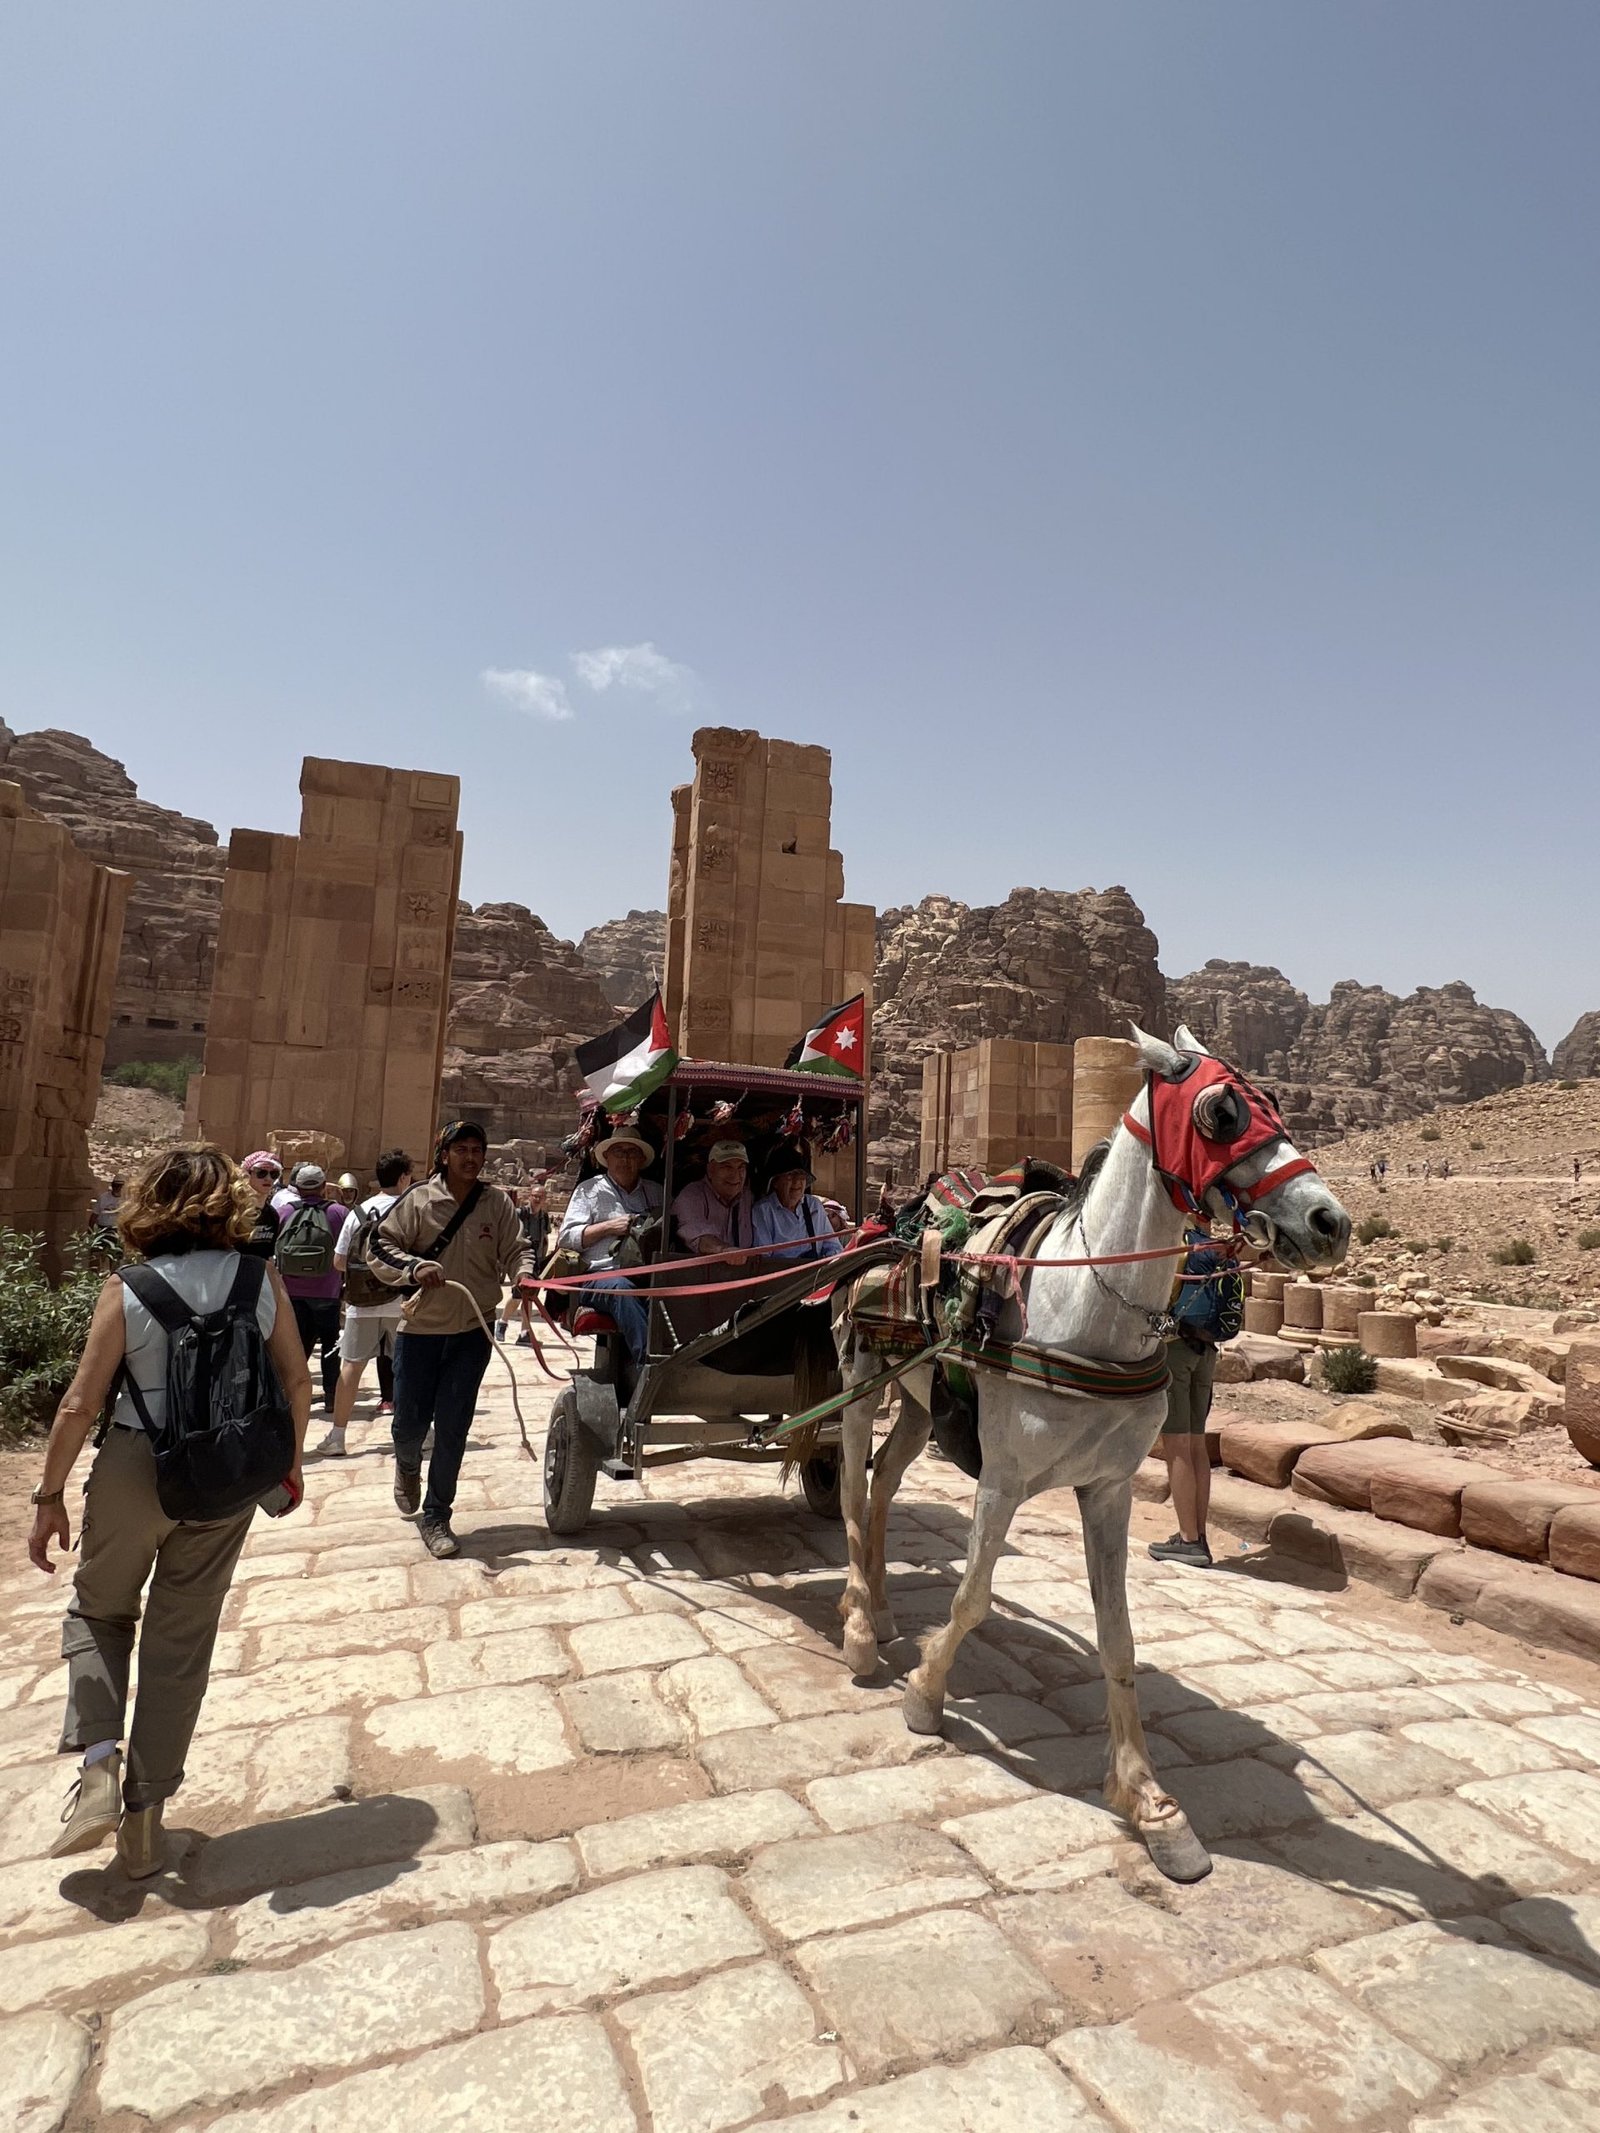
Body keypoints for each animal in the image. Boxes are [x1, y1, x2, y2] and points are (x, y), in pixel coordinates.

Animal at [834, 1025, 1351, 1883]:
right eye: (1220, 1111)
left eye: (1278, 1100)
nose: (1329, 1221)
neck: (1081, 1309)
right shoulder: (1003, 1478)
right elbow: (972, 1597)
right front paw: (926, 1695)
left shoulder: (1109, 1488)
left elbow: (1119, 1637)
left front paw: (1150, 1800)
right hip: (855, 1378)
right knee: (847, 1494)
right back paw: (858, 1630)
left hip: (917, 1407)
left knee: (880, 1491)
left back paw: (876, 1604)